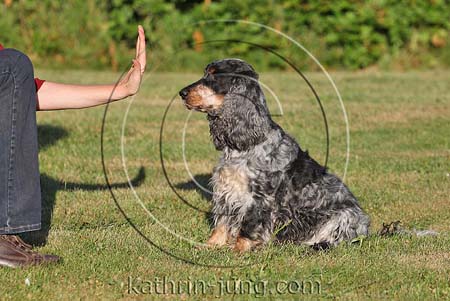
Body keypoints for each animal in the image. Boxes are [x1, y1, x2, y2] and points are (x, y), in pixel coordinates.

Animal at [178, 58, 370, 251]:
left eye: (214, 75)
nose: (182, 93)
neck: (246, 145)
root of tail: (368, 227)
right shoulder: (226, 191)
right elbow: (222, 224)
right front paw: (210, 245)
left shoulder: (258, 197)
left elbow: (248, 226)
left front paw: (239, 249)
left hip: (344, 216)